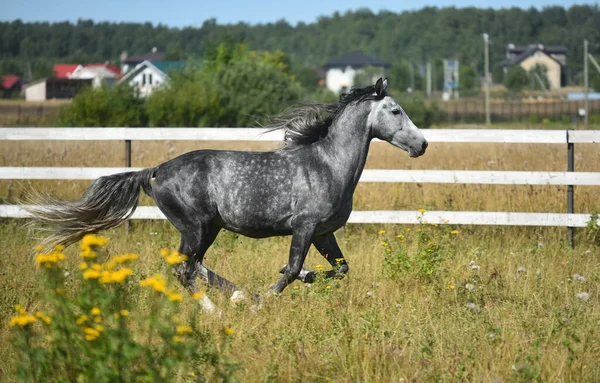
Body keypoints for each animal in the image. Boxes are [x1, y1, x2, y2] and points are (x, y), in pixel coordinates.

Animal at [27, 78, 426, 312]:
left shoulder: (324, 232)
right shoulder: (305, 227)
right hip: (196, 227)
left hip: (208, 229)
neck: (328, 165)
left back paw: (235, 294)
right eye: (395, 110)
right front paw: (262, 300)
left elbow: (341, 269)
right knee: (184, 269)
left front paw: (307, 277)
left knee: (194, 266)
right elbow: (291, 269)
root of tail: (156, 171)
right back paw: (219, 309)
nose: (422, 144)